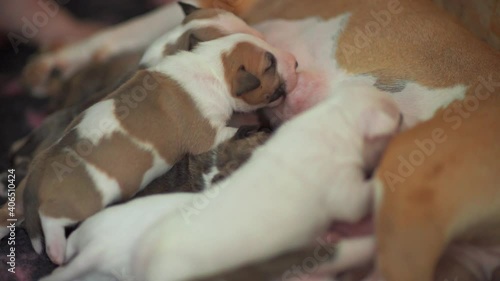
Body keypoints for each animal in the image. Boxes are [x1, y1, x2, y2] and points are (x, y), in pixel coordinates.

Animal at [20, 33, 296, 264]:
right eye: (269, 65)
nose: (294, 62)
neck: (211, 65)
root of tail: (40, 164)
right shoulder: (208, 134)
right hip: (83, 202)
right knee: (51, 217)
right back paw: (56, 250)